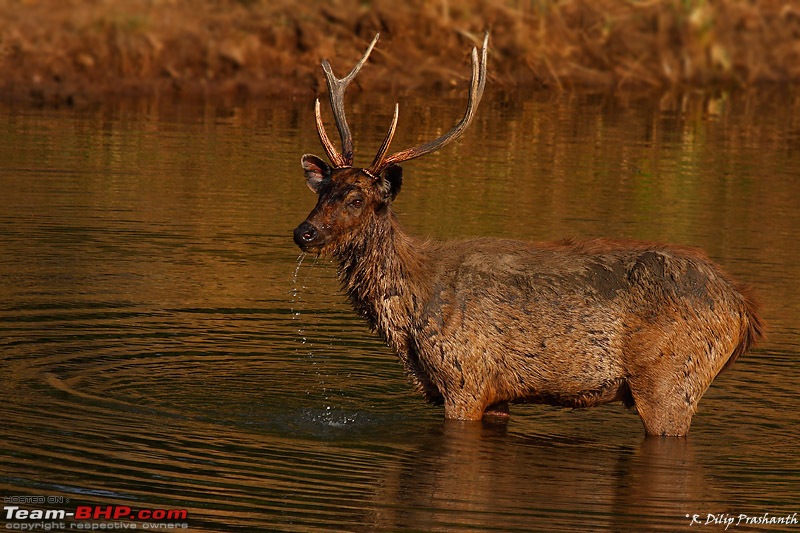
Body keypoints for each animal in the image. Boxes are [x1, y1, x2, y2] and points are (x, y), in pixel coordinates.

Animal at [292, 33, 764, 434]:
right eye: (324, 190)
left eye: (357, 199)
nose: (304, 233)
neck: (410, 314)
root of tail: (744, 310)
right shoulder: (494, 394)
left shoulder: (466, 376)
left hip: (670, 379)